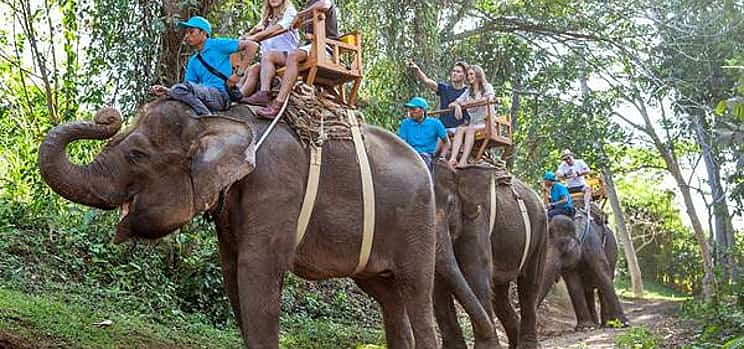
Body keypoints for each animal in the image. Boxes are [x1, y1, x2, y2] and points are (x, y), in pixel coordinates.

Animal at [37, 98, 492, 348]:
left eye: (136, 155)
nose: (107, 116)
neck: (223, 117)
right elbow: (232, 277)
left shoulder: (278, 188)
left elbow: (256, 274)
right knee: (388, 298)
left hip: (417, 225)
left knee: (416, 293)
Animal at [434, 158, 548, 348]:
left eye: (450, 205)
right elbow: (437, 285)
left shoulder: (477, 219)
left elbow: (474, 274)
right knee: (500, 296)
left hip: (540, 231)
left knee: (529, 286)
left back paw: (527, 345)